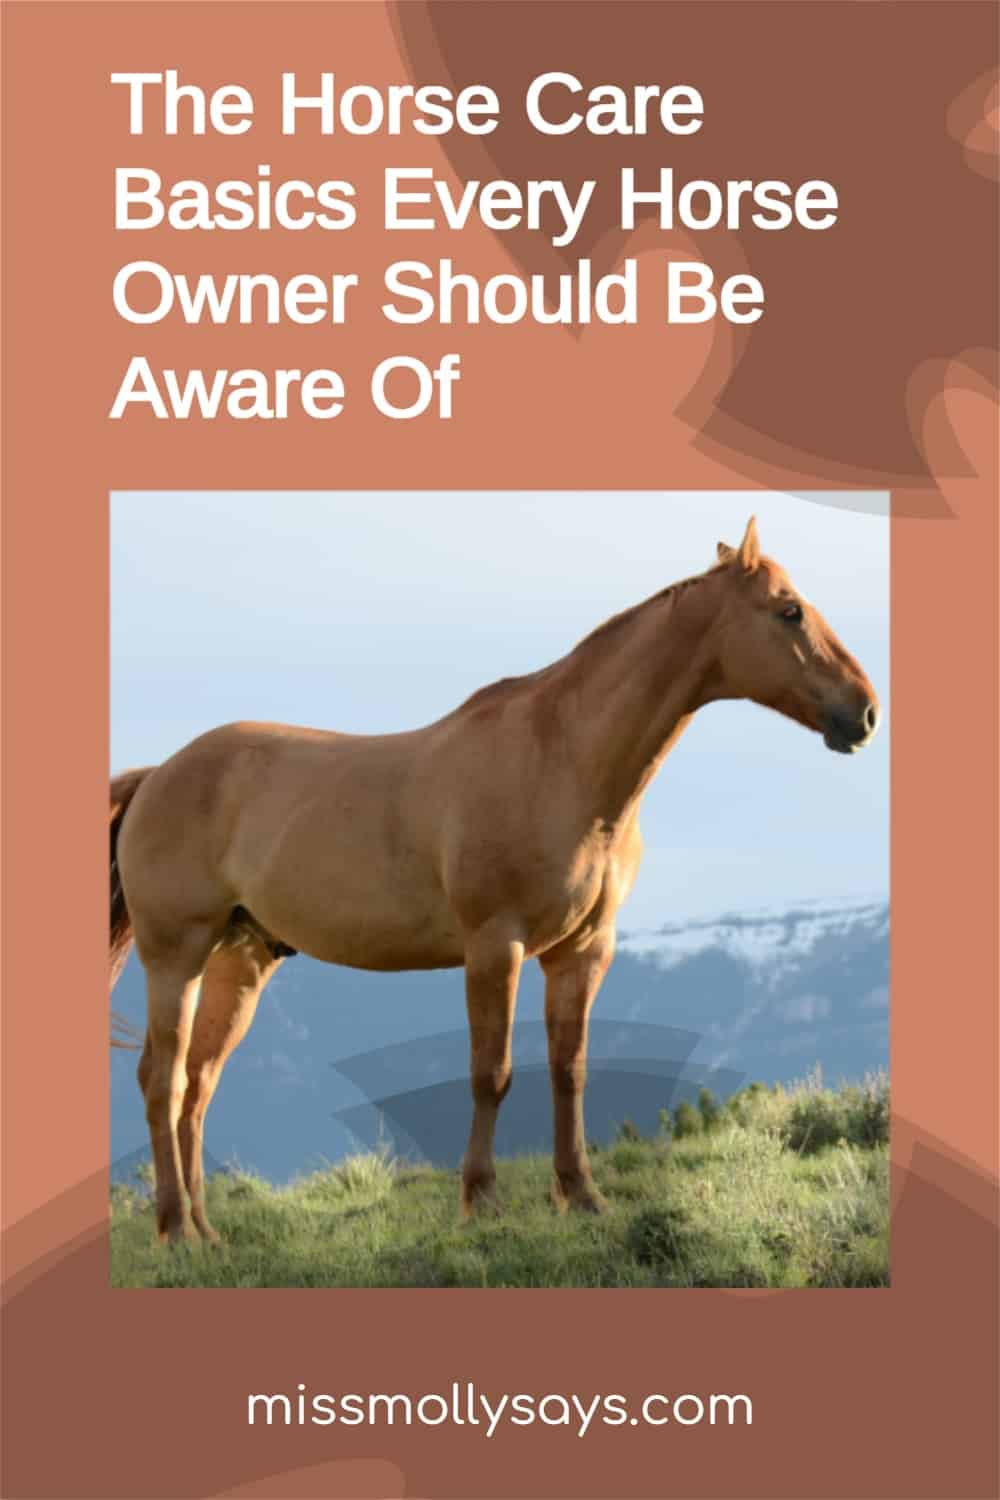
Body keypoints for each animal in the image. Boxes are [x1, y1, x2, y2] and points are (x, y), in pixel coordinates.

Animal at [110, 518, 880, 1245]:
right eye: (788, 610)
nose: (865, 712)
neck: (562, 762)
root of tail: (160, 773)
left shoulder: (582, 950)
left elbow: (569, 1070)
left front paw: (582, 1195)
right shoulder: (494, 946)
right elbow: (493, 1072)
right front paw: (481, 1201)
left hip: (238, 962)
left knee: (197, 1087)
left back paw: (207, 1233)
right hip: (176, 955)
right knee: (161, 1078)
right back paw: (175, 1230)